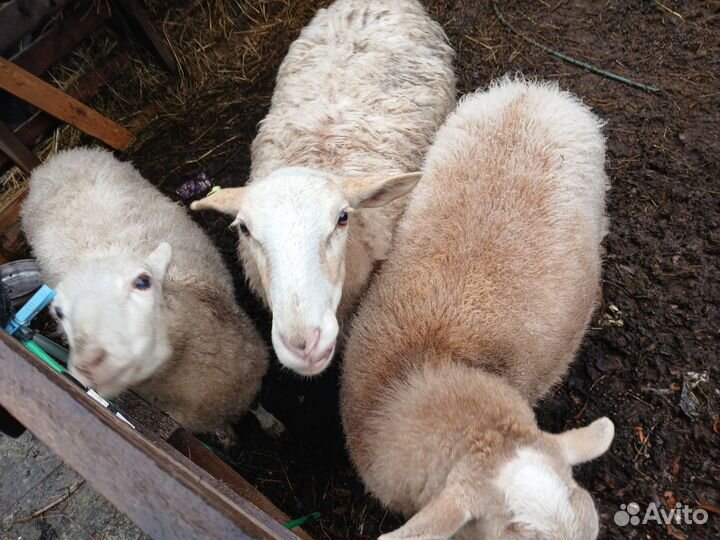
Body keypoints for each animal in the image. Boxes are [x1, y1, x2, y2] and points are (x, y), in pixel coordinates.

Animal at [21, 148, 277, 437]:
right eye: (59, 312)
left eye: (143, 282)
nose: (90, 364)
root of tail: (54, 160)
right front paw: (226, 435)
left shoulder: (248, 377)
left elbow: (256, 405)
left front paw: (269, 423)